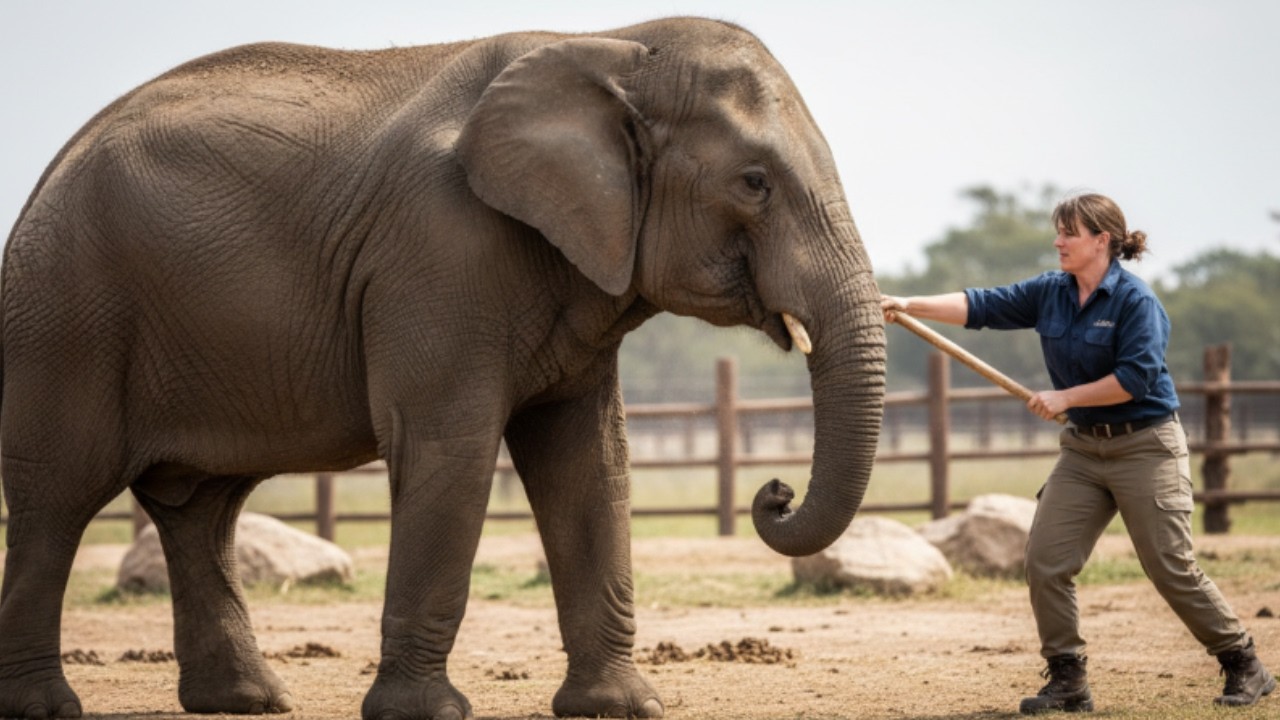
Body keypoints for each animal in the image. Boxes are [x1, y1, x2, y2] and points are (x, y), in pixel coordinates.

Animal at [0, 16, 885, 720]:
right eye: (754, 182)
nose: (774, 492)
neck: (613, 45)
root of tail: (47, 174)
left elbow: (590, 465)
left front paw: (621, 709)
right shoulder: (437, 251)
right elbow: (450, 450)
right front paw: (425, 714)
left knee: (200, 510)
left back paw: (247, 701)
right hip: (66, 317)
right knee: (57, 500)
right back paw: (48, 707)